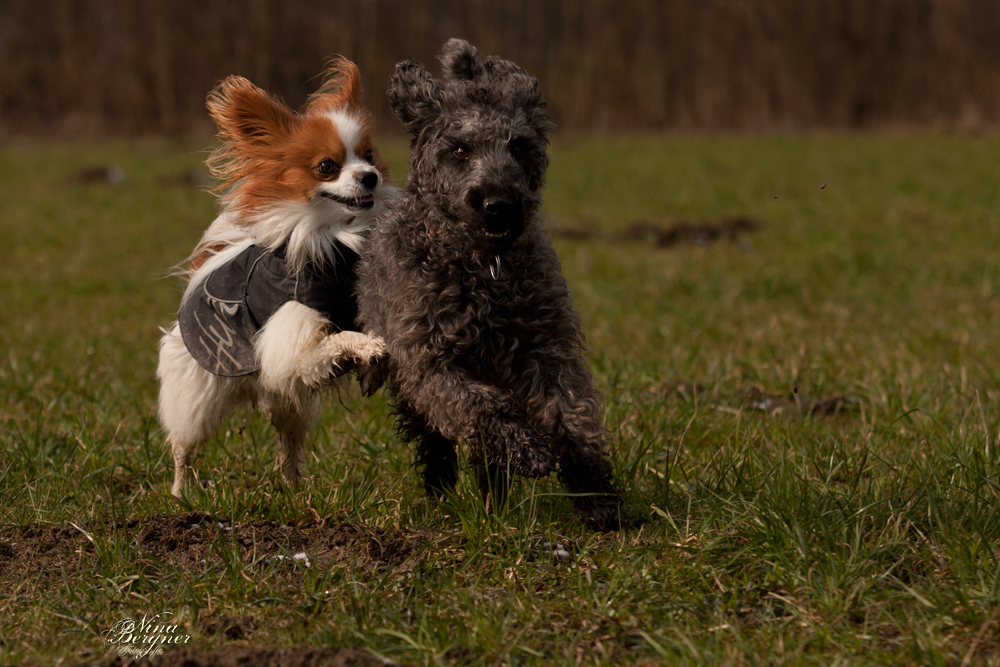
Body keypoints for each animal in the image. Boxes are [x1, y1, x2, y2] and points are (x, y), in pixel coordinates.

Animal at [358, 37, 624, 532]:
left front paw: (596, 495)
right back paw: (443, 485)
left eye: (519, 146)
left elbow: (571, 415)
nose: (500, 206)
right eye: (460, 150)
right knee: (439, 436)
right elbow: (482, 408)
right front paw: (528, 449)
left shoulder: (546, 349)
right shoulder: (432, 362)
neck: (484, 269)